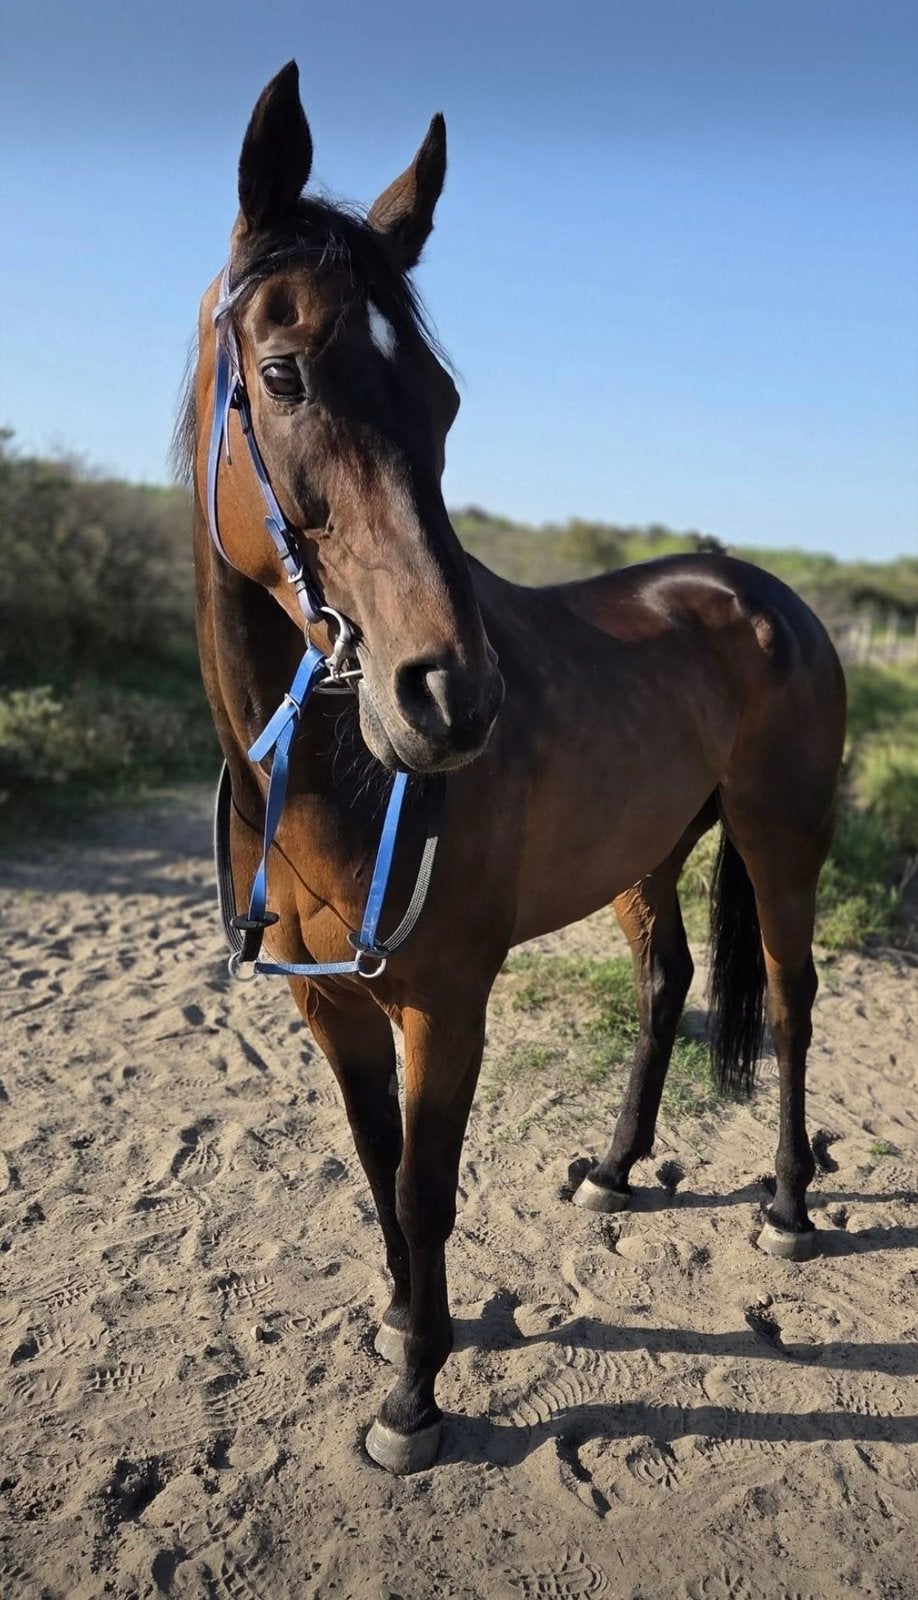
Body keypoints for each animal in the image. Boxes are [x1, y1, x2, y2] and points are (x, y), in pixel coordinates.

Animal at [178, 62, 847, 1474]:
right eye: (283, 372)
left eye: (441, 398)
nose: (450, 696)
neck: (328, 782)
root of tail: (762, 592)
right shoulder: (336, 1008)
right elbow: (377, 1171)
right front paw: (400, 1322)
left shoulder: (445, 1001)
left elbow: (427, 1185)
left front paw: (416, 1397)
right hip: (651, 854)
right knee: (666, 983)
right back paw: (616, 1168)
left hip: (781, 838)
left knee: (790, 996)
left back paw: (786, 1204)